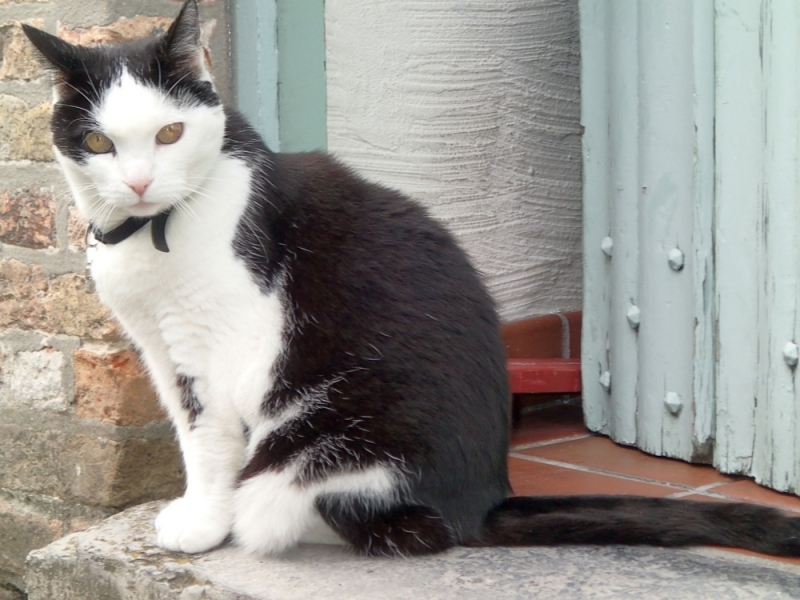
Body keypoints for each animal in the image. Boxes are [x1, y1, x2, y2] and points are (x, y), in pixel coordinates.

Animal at [23, 0, 800, 556]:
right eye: (97, 142)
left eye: (170, 133)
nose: (139, 181)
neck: (152, 235)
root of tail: (484, 498)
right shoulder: (158, 348)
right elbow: (187, 439)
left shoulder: (214, 348)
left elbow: (209, 442)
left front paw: (202, 525)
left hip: (334, 441)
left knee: (395, 526)